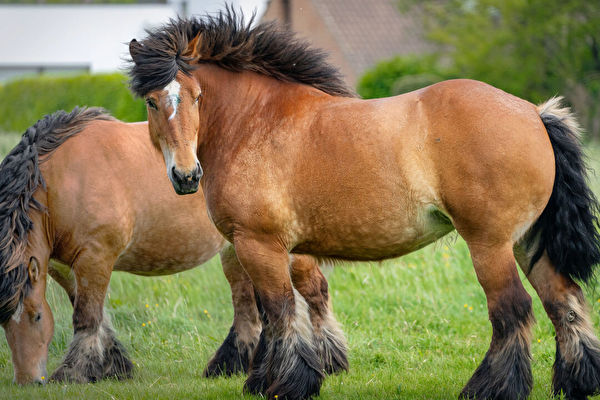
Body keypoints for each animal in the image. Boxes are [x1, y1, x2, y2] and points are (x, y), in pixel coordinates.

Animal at [0, 107, 346, 384]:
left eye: (36, 317)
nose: (28, 381)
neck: (64, 179)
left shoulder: (95, 258)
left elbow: (86, 317)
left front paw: (73, 373)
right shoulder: (64, 266)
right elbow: (95, 316)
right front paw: (113, 366)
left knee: (315, 291)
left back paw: (331, 360)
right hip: (238, 251)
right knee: (248, 307)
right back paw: (232, 365)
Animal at [127, 9, 600, 400]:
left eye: (196, 96)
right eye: (152, 101)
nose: (186, 176)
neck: (255, 123)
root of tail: (534, 113)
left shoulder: (258, 245)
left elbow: (279, 312)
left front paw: (287, 384)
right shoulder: (276, 250)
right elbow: (279, 311)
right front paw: (265, 380)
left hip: (490, 245)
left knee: (512, 310)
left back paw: (492, 388)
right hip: (527, 242)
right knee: (563, 300)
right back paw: (577, 382)